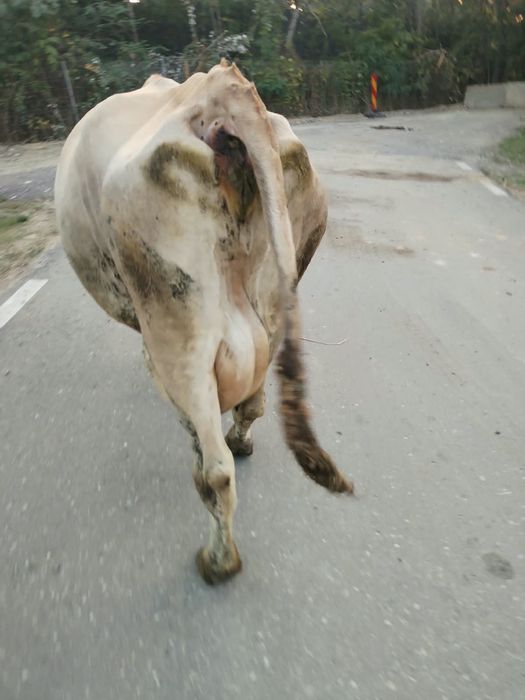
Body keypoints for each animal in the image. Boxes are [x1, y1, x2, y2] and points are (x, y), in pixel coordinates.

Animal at [54, 60, 352, 584]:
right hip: (278, 295)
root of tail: (222, 90)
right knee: (254, 403)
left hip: (178, 326)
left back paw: (218, 560)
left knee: (215, 468)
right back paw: (242, 442)